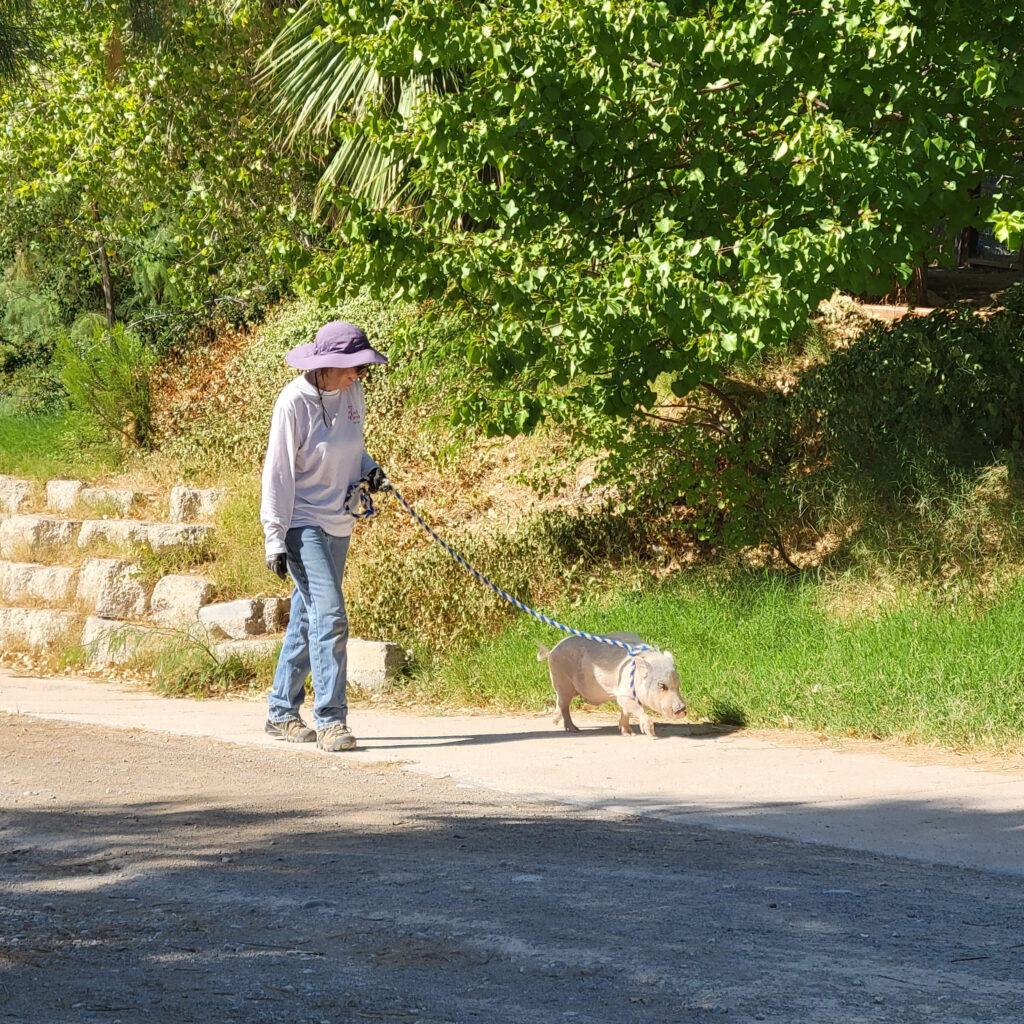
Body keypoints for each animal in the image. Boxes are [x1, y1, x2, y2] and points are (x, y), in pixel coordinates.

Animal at [538, 631, 687, 737]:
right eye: (661, 685)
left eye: (677, 681)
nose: (682, 709)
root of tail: (552, 651)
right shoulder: (624, 694)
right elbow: (636, 708)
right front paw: (650, 733)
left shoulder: (626, 697)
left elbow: (626, 712)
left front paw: (629, 734)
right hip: (562, 681)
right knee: (564, 705)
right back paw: (575, 730)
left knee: (560, 702)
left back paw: (556, 721)